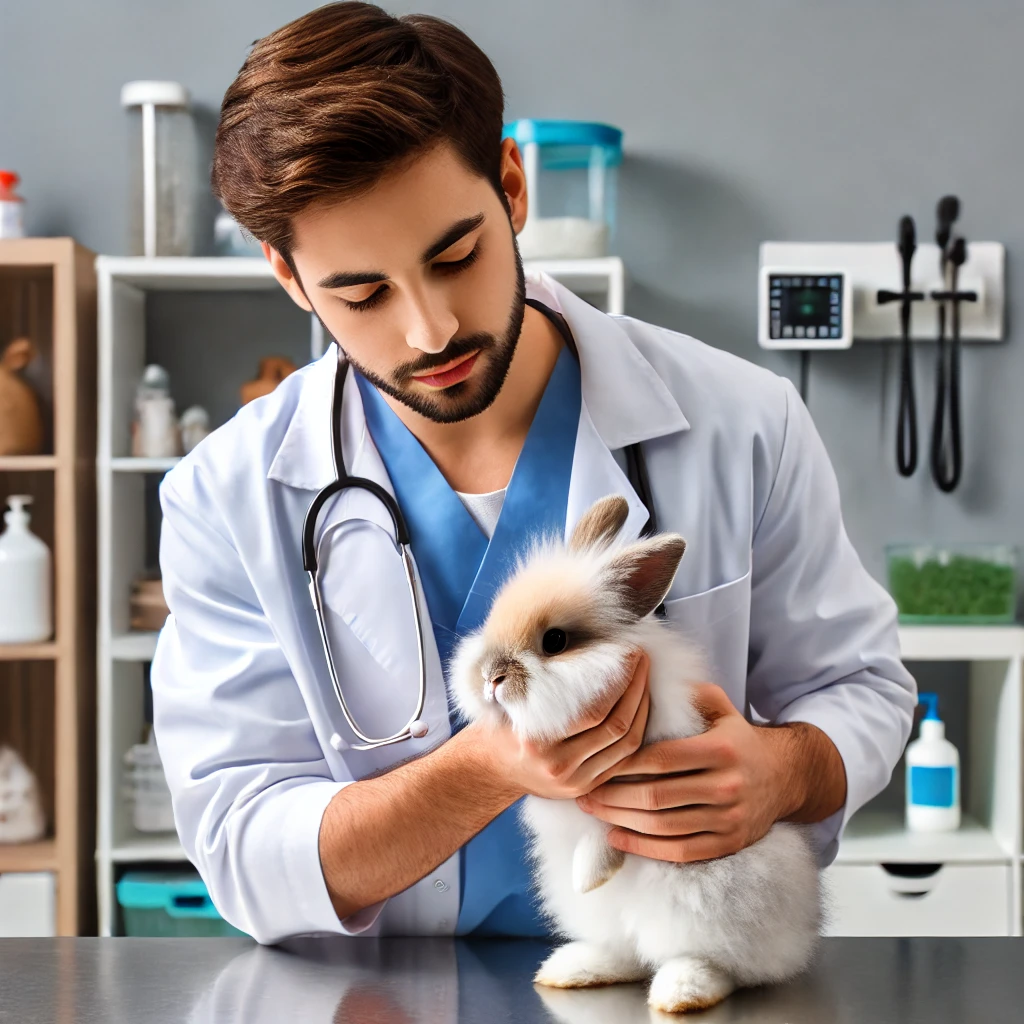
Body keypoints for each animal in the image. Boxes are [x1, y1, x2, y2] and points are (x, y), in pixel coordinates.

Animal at [452, 497, 819, 1015]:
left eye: (555, 642)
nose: (490, 677)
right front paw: (590, 880)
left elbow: (608, 828)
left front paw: (589, 873)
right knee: (628, 953)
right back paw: (572, 969)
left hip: (713, 902)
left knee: (716, 963)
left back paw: (681, 992)